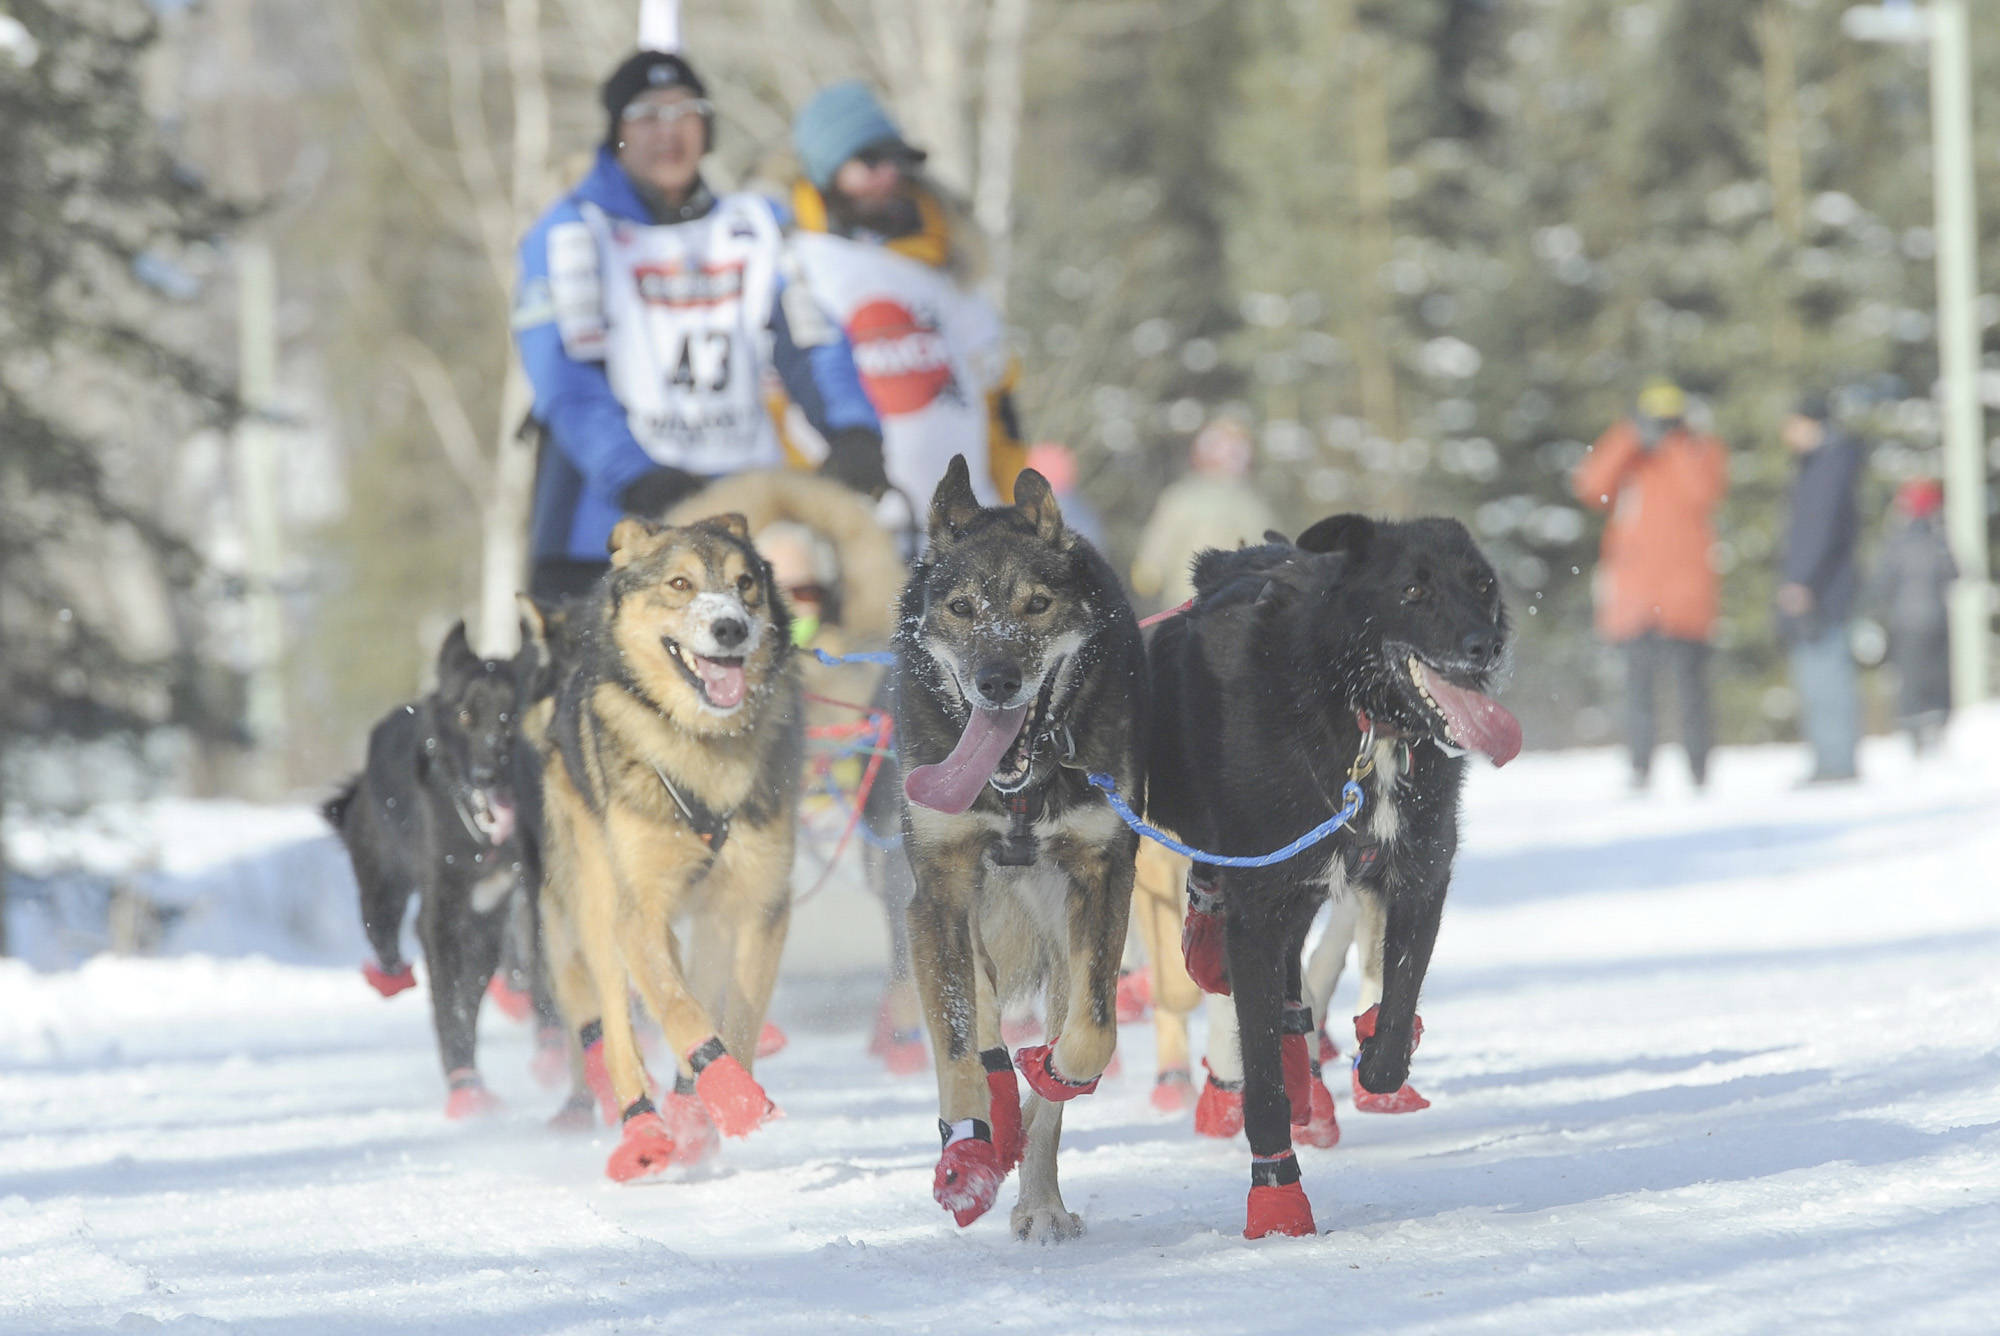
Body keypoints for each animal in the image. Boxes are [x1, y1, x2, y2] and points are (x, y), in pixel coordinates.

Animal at [540, 508, 812, 1176]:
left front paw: (720, 1103)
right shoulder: (640, 910)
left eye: (745, 583)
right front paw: (733, 1097)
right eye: (681, 584)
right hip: (596, 900)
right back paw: (643, 1129)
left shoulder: (759, 904)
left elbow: (734, 1016)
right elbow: (678, 1008)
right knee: (616, 1024)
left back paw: (689, 1114)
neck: (703, 746)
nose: (730, 627)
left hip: (710, 918)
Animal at [900, 456, 1152, 1240]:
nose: (997, 680)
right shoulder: (939, 891)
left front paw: (1056, 1074)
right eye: (961, 608)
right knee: (979, 1015)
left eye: (1037, 604)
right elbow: (958, 1044)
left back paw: (1040, 1198)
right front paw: (968, 1151)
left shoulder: (1102, 877)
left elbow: (1090, 1035)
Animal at [1152, 516, 1520, 1240]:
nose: (1486, 644)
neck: (1364, 723)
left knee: (1296, 991)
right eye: (1413, 588)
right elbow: (1262, 1078)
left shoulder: (1419, 877)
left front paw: (1376, 1059)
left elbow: (1395, 1010)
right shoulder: (1260, 906)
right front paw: (1276, 1198)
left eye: (1482, 583)